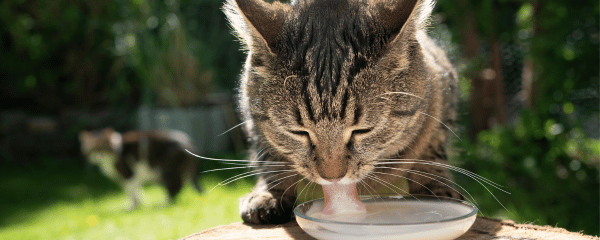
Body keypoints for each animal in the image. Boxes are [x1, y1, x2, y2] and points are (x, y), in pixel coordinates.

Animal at [225, 0, 460, 224]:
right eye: (299, 132)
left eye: (363, 130)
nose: (332, 178)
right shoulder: (252, 121)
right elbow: (271, 158)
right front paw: (269, 194)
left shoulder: (441, 91)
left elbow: (432, 151)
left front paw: (437, 188)